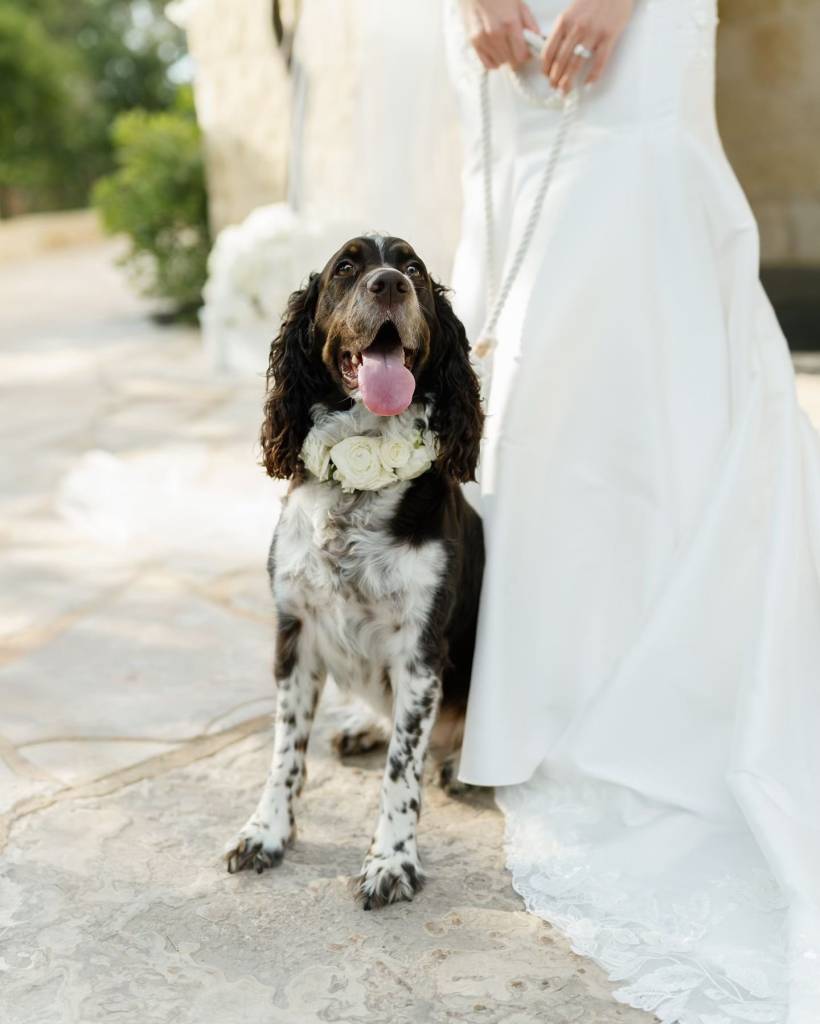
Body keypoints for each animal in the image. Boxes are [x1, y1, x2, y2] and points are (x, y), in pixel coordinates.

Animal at [224, 235, 483, 909]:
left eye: (414, 268)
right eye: (346, 267)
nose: (390, 283)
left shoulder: (421, 654)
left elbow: (401, 770)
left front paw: (391, 861)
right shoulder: (295, 633)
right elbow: (285, 751)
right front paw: (266, 833)